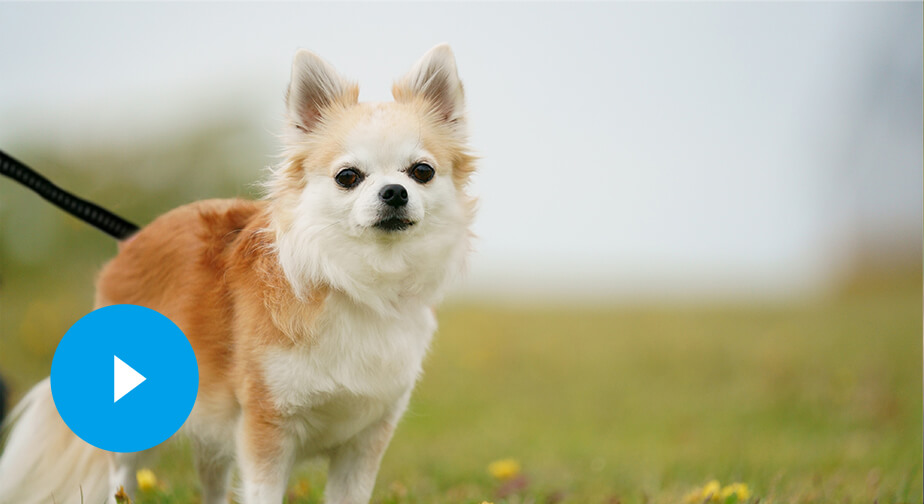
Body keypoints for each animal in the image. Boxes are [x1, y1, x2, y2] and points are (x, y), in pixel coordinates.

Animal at [0, 43, 476, 504]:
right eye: (348, 177)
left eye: (422, 172)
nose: (394, 192)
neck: (358, 281)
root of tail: (133, 241)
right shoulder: (266, 426)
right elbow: (264, 492)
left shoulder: (364, 440)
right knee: (123, 479)